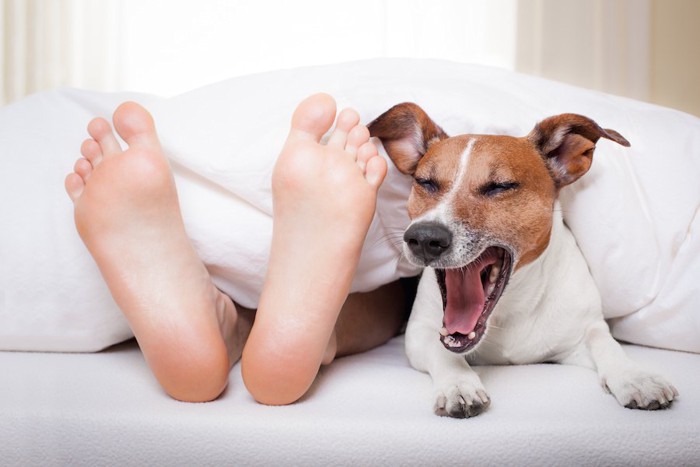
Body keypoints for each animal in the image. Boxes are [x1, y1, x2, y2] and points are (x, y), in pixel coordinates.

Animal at [370, 104, 680, 418]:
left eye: (500, 187)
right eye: (426, 183)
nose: (424, 238)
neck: (509, 309)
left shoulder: (581, 335)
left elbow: (606, 343)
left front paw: (636, 377)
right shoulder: (419, 334)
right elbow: (442, 353)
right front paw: (459, 384)